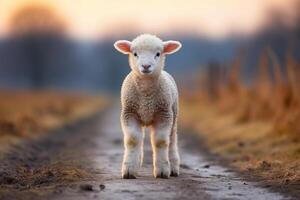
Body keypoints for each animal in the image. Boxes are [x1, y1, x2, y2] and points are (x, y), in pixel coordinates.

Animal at [113, 33, 182, 179]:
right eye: (135, 54)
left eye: (158, 54)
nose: (145, 66)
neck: (146, 96)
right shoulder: (129, 113)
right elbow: (132, 140)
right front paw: (129, 170)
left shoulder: (164, 114)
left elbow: (160, 141)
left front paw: (162, 171)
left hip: (174, 115)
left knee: (172, 140)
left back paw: (173, 167)